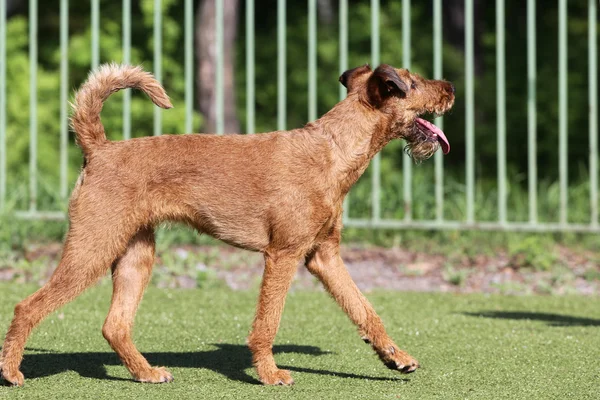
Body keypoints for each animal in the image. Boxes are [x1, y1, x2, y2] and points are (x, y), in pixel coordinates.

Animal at [0, 61, 454, 384]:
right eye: (412, 82)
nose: (450, 86)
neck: (333, 149)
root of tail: (99, 148)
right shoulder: (283, 254)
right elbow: (268, 322)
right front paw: (270, 375)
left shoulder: (324, 256)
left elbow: (365, 309)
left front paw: (395, 357)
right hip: (92, 248)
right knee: (27, 306)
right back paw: (11, 372)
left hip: (135, 255)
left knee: (115, 325)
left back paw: (146, 373)